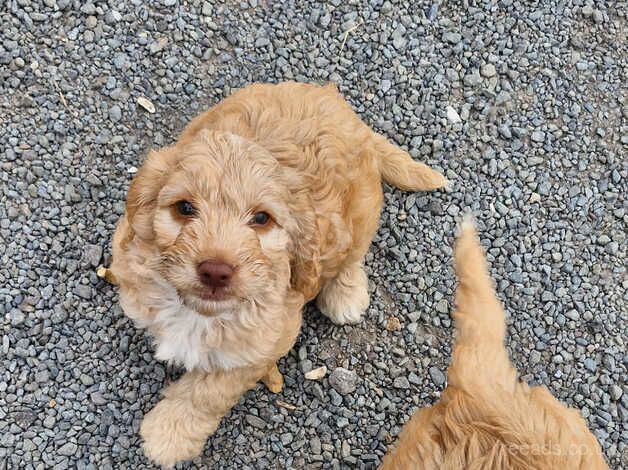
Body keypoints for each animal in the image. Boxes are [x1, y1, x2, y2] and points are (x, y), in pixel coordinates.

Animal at [105, 81, 446, 466]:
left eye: (261, 218)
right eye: (185, 208)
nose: (215, 271)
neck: (200, 313)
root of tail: (330, 96)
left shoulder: (270, 337)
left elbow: (209, 390)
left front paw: (169, 435)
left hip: (361, 210)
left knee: (353, 253)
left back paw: (346, 293)